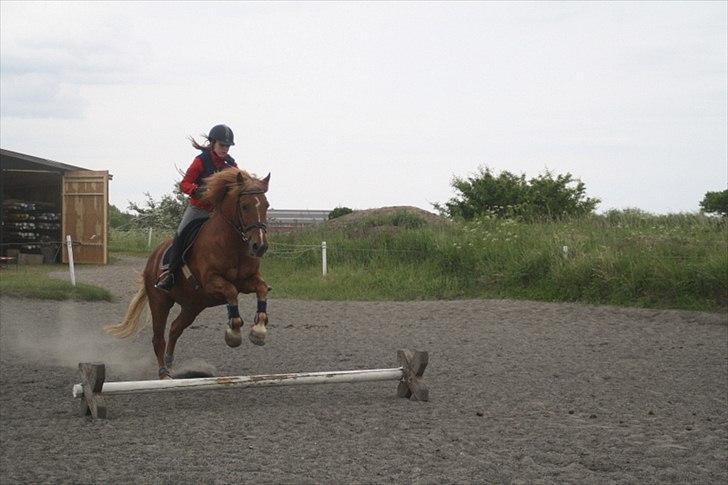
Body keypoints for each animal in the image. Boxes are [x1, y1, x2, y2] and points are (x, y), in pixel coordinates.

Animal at [104, 167, 270, 378]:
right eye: (245, 206)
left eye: (266, 205)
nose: (260, 246)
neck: (233, 244)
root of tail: (153, 257)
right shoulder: (211, 281)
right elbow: (231, 292)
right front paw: (233, 333)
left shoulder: (247, 281)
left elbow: (262, 288)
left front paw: (259, 330)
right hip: (160, 301)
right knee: (158, 338)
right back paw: (164, 373)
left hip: (193, 306)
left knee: (175, 328)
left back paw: (170, 363)